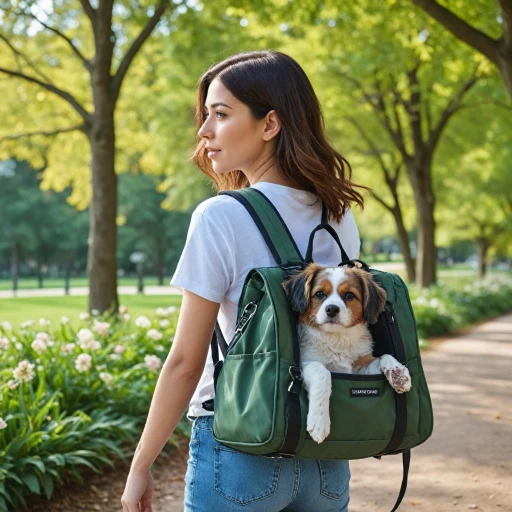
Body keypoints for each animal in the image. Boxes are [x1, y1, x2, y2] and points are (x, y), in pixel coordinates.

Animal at [284, 264, 412, 444]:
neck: (337, 338)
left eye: (349, 295)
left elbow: (383, 357)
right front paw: (319, 421)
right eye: (319, 294)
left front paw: (398, 373)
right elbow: (321, 371)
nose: (331, 309)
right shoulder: (304, 364)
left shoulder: (359, 369)